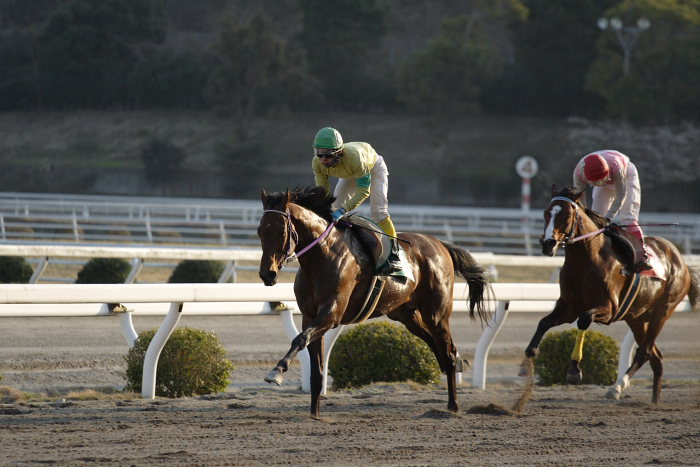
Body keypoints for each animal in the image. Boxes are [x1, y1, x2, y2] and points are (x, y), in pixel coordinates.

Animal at [258, 185, 492, 418]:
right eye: (260, 231)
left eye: (281, 232)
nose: (267, 275)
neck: (321, 257)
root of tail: (439, 244)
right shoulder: (310, 316)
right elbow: (314, 365)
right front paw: (315, 414)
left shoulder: (331, 314)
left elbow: (299, 339)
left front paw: (276, 372)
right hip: (407, 316)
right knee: (438, 348)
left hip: (436, 313)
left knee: (447, 351)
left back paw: (453, 404)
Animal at [524, 185, 696, 404]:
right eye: (546, 213)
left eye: (566, 215)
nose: (548, 243)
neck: (586, 261)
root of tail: (680, 260)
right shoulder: (569, 307)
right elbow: (544, 322)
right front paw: (529, 354)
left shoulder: (609, 309)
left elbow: (584, 320)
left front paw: (574, 370)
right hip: (636, 318)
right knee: (655, 356)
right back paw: (654, 400)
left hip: (662, 312)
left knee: (644, 352)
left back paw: (617, 388)